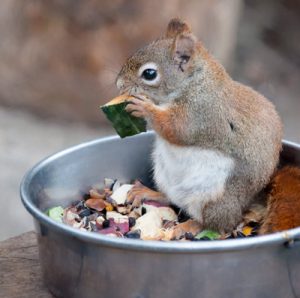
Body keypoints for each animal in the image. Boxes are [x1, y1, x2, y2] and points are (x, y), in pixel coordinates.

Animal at [114, 17, 284, 234]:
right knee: (171, 198)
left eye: (149, 74)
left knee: (218, 226)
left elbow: (177, 129)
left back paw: (188, 226)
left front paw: (144, 108)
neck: (193, 83)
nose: (119, 84)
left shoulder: (201, 113)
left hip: (214, 197)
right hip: (164, 176)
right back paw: (148, 193)